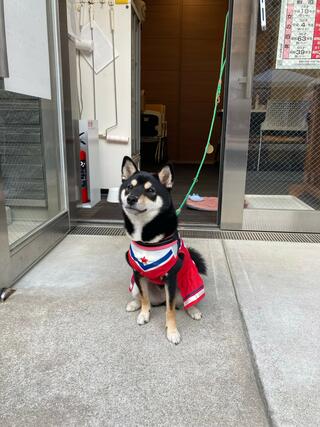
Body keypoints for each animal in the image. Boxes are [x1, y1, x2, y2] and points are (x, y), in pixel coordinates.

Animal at [119, 156, 206, 344]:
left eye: (151, 190)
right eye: (129, 187)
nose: (131, 198)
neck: (145, 235)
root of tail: (160, 300)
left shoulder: (171, 278)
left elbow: (170, 310)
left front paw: (172, 331)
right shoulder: (138, 273)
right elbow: (145, 299)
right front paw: (144, 314)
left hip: (187, 285)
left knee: (185, 303)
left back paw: (193, 310)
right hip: (135, 285)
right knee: (144, 298)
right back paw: (135, 304)